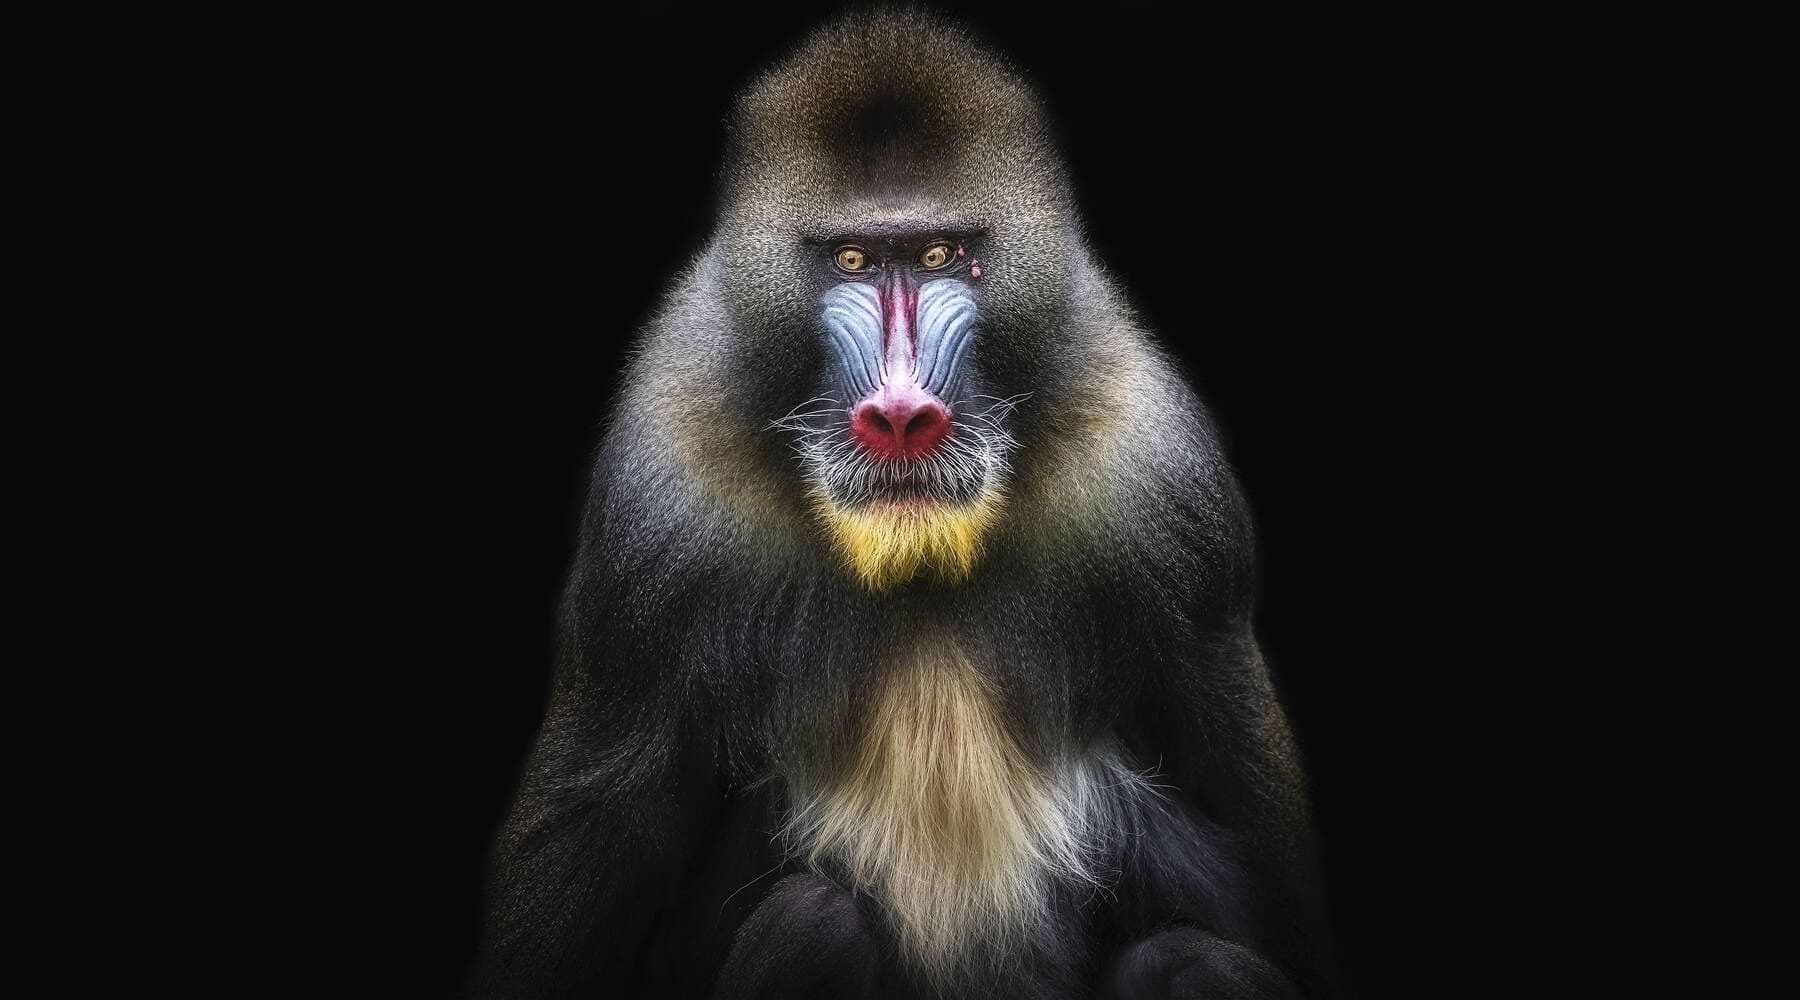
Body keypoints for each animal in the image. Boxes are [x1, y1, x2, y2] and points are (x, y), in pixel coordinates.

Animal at [470, 9, 1337, 999]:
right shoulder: (655, 514)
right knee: (814, 921)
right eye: (852, 259)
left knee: (1190, 960)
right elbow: (596, 823)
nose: (899, 416)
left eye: (937, 257)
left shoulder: (1162, 487)